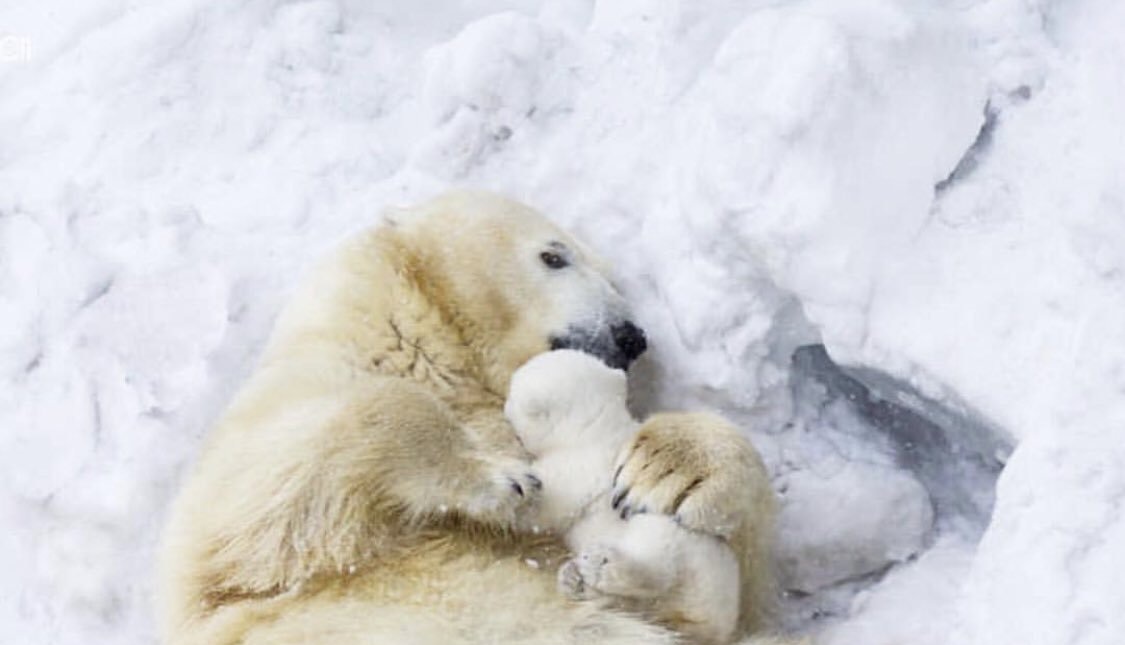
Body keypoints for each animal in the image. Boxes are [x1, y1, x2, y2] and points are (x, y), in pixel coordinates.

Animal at [506, 351, 751, 643]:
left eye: (511, 397)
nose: (505, 408)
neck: (596, 425)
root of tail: (716, 622)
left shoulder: (579, 463)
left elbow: (546, 503)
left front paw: (518, 486)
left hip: (687, 550)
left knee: (658, 558)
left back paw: (598, 563)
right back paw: (575, 580)